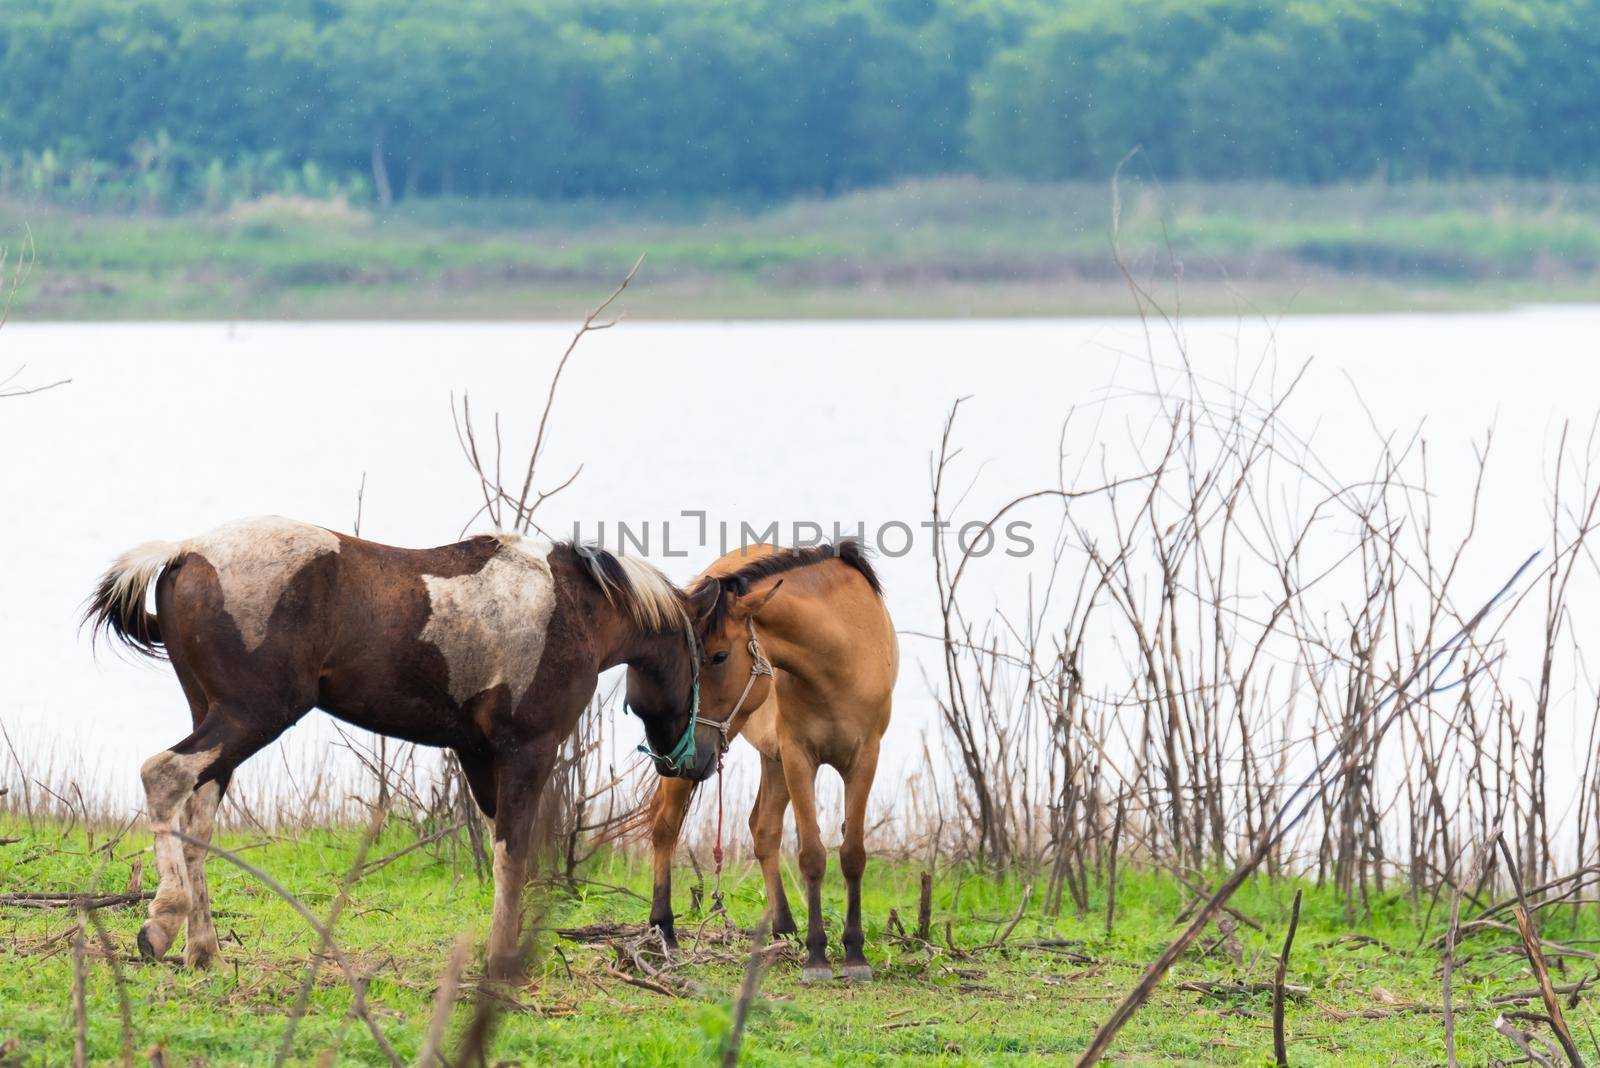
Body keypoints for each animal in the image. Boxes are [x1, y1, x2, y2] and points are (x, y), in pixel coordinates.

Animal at [649, 543, 902, 984]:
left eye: (719, 656)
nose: (688, 750)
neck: (840, 659)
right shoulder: (799, 756)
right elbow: (812, 855)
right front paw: (818, 957)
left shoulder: (864, 759)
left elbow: (852, 854)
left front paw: (854, 954)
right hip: (757, 762)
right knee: (665, 826)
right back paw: (665, 929)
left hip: (772, 760)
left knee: (763, 829)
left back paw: (784, 929)